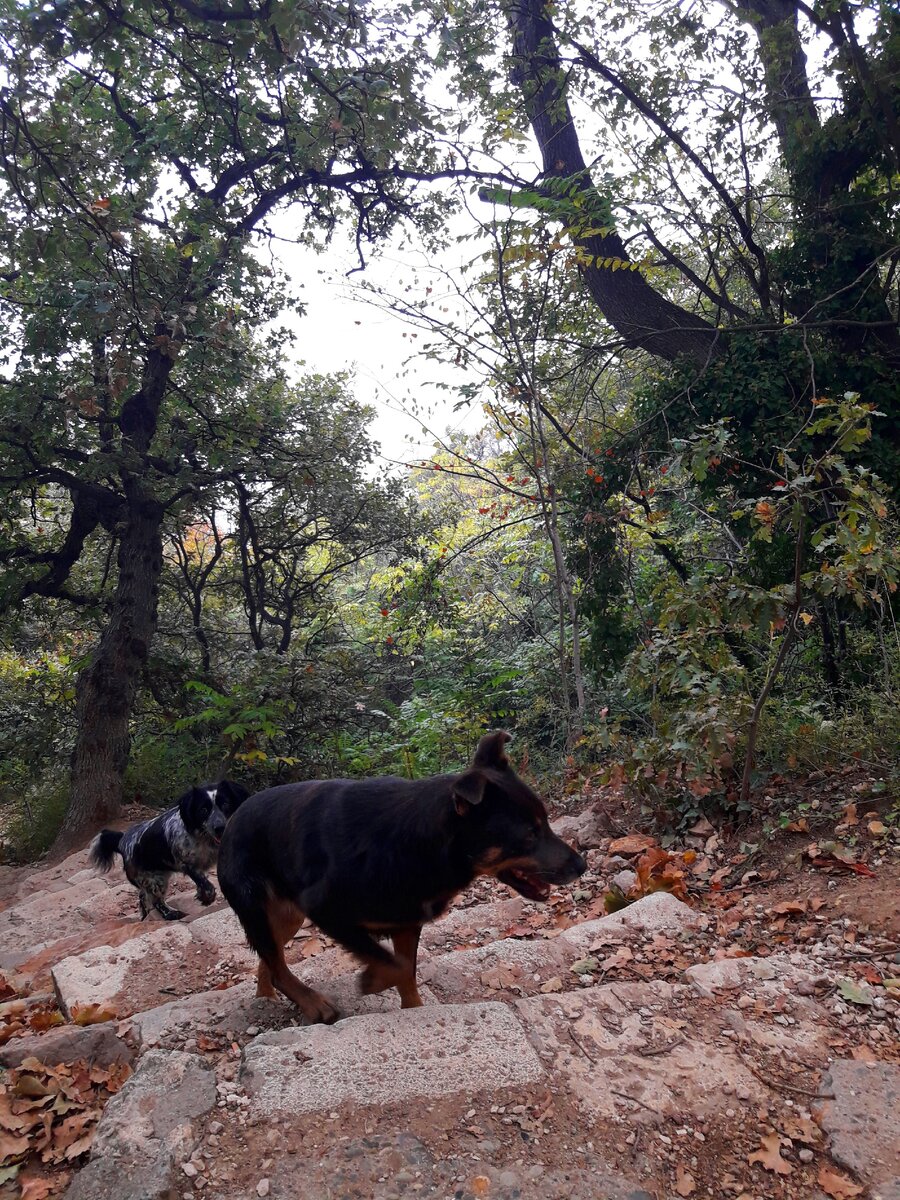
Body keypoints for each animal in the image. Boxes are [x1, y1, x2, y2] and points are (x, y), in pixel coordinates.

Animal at [90, 782, 250, 921]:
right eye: (203, 810)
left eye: (226, 804)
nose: (220, 828)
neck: (204, 837)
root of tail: (122, 840)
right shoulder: (186, 863)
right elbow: (206, 884)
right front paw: (206, 898)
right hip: (155, 880)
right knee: (156, 901)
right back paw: (172, 914)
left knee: (143, 896)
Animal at [217, 729, 585, 1022]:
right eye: (529, 835)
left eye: (546, 822)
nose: (582, 866)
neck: (418, 844)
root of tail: (232, 820)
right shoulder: (327, 911)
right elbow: (393, 964)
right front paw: (373, 981)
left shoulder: (407, 921)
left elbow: (406, 969)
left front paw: (414, 1009)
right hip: (259, 906)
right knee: (276, 963)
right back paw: (312, 1003)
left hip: (286, 915)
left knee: (270, 958)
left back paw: (268, 997)